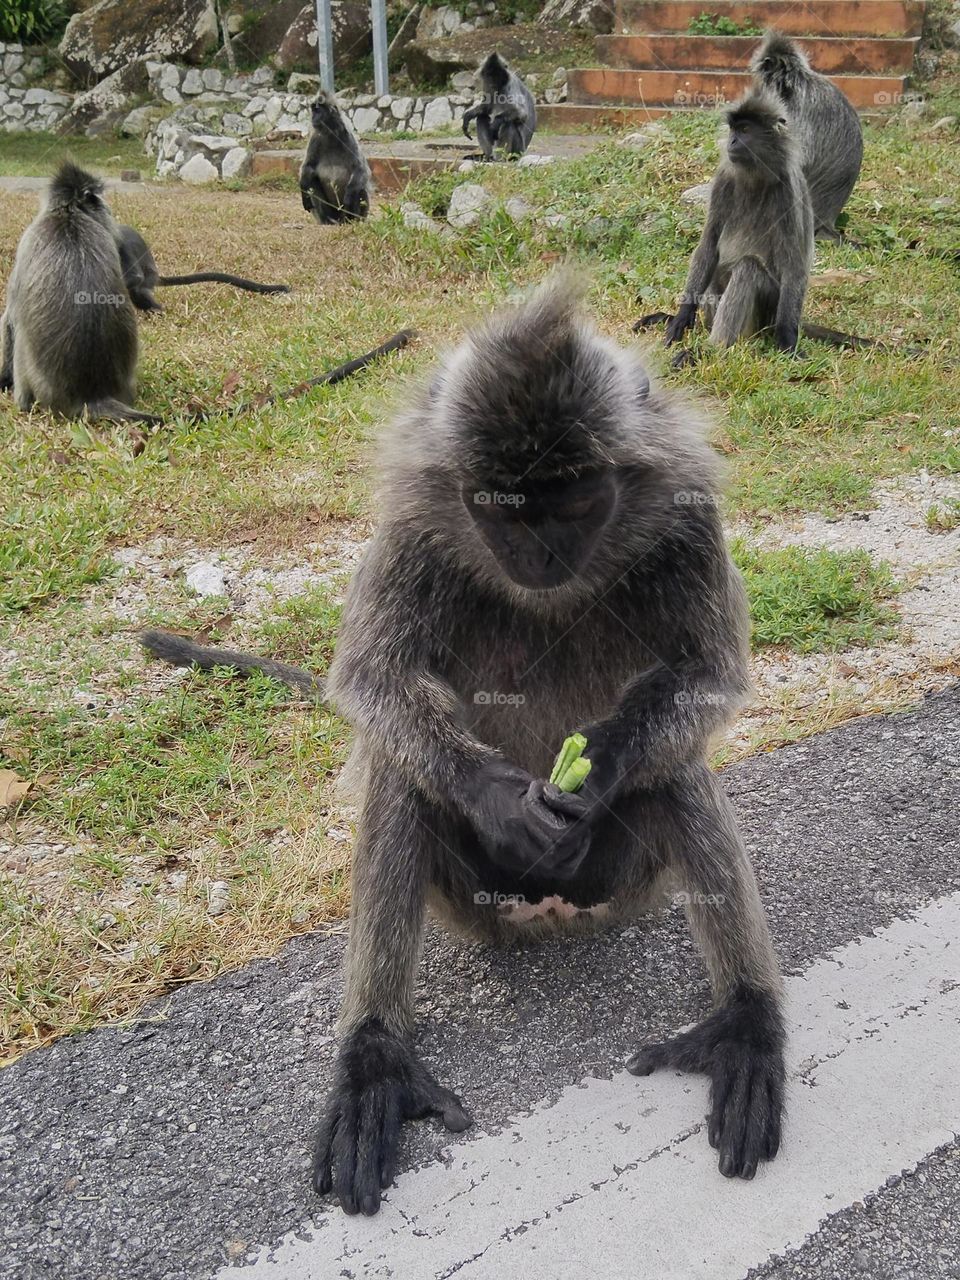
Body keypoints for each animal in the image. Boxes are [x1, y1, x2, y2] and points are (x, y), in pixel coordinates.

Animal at [111, 222, 288, 312]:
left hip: (148, 279)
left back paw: (157, 311)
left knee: (139, 290)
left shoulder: (123, 246)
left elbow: (135, 277)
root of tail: (156, 274)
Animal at [655, 93, 814, 360]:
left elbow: (794, 266)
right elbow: (708, 244)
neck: (756, 177)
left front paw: (786, 340)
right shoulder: (723, 179)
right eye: (733, 129)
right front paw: (682, 316)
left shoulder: (788, 191)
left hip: (766, 310)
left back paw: (707, 351)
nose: (731, 141)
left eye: (745, 130)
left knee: (747, 268)